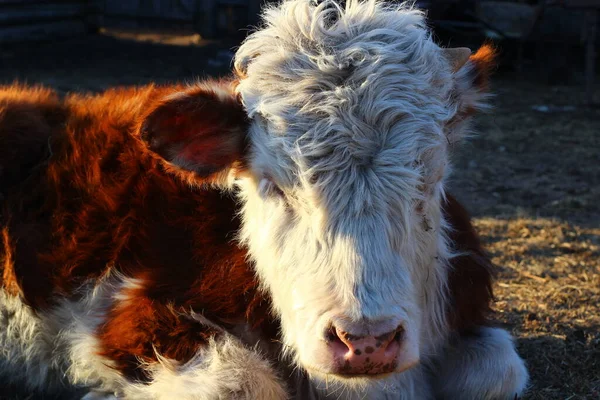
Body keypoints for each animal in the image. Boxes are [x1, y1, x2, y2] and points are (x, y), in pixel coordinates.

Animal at [0, 1, 528, 398]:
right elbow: (241, 383)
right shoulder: (121, 316)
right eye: (274, 186)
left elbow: (497, 375)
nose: (366, 341)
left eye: (429, 181)